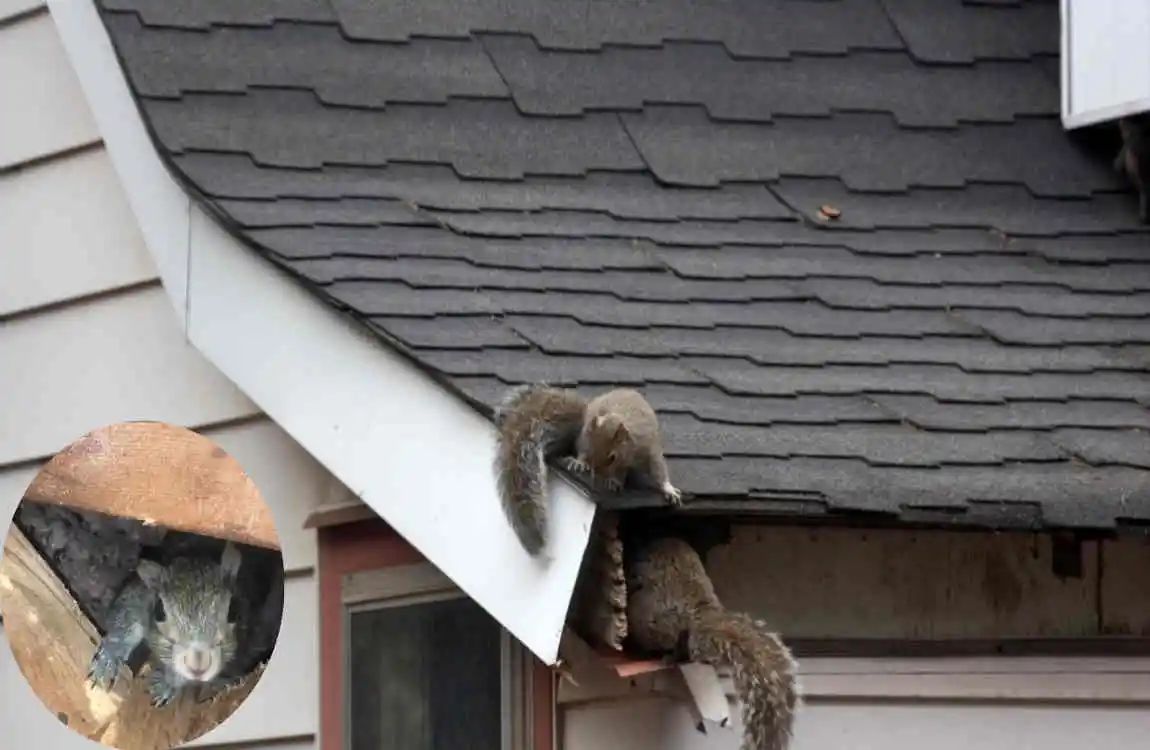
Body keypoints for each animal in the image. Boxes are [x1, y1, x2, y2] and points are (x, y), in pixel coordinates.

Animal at [87, 541, 248, 708]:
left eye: (234, 611)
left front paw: (165, 685)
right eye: (159, 611)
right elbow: (125, 622)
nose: (198, 666)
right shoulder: (138, 597)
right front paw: (107, 660)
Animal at [493, 384, 682, 556]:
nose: (596, 476)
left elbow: (658, 468)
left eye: (612, 457)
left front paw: (669, 489)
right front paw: (580, 462)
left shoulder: (648, 448)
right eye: (591, 449)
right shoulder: (586, 439)